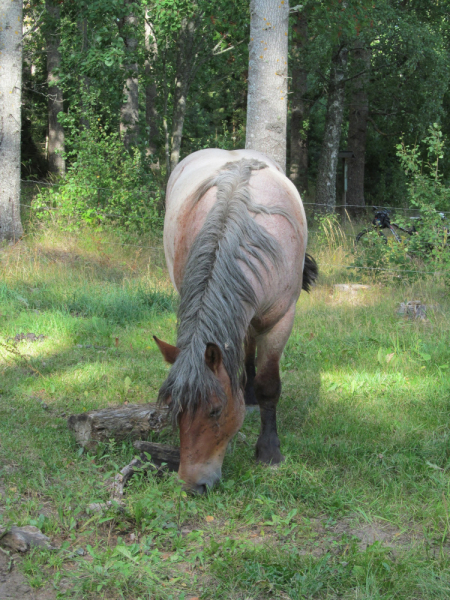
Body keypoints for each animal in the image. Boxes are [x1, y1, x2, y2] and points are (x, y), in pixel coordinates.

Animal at [155, 149, 316, 492]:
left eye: (215, 411)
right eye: (175, 409)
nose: (192, 484)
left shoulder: (280, 320)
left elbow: (269, 386)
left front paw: (269, 450)